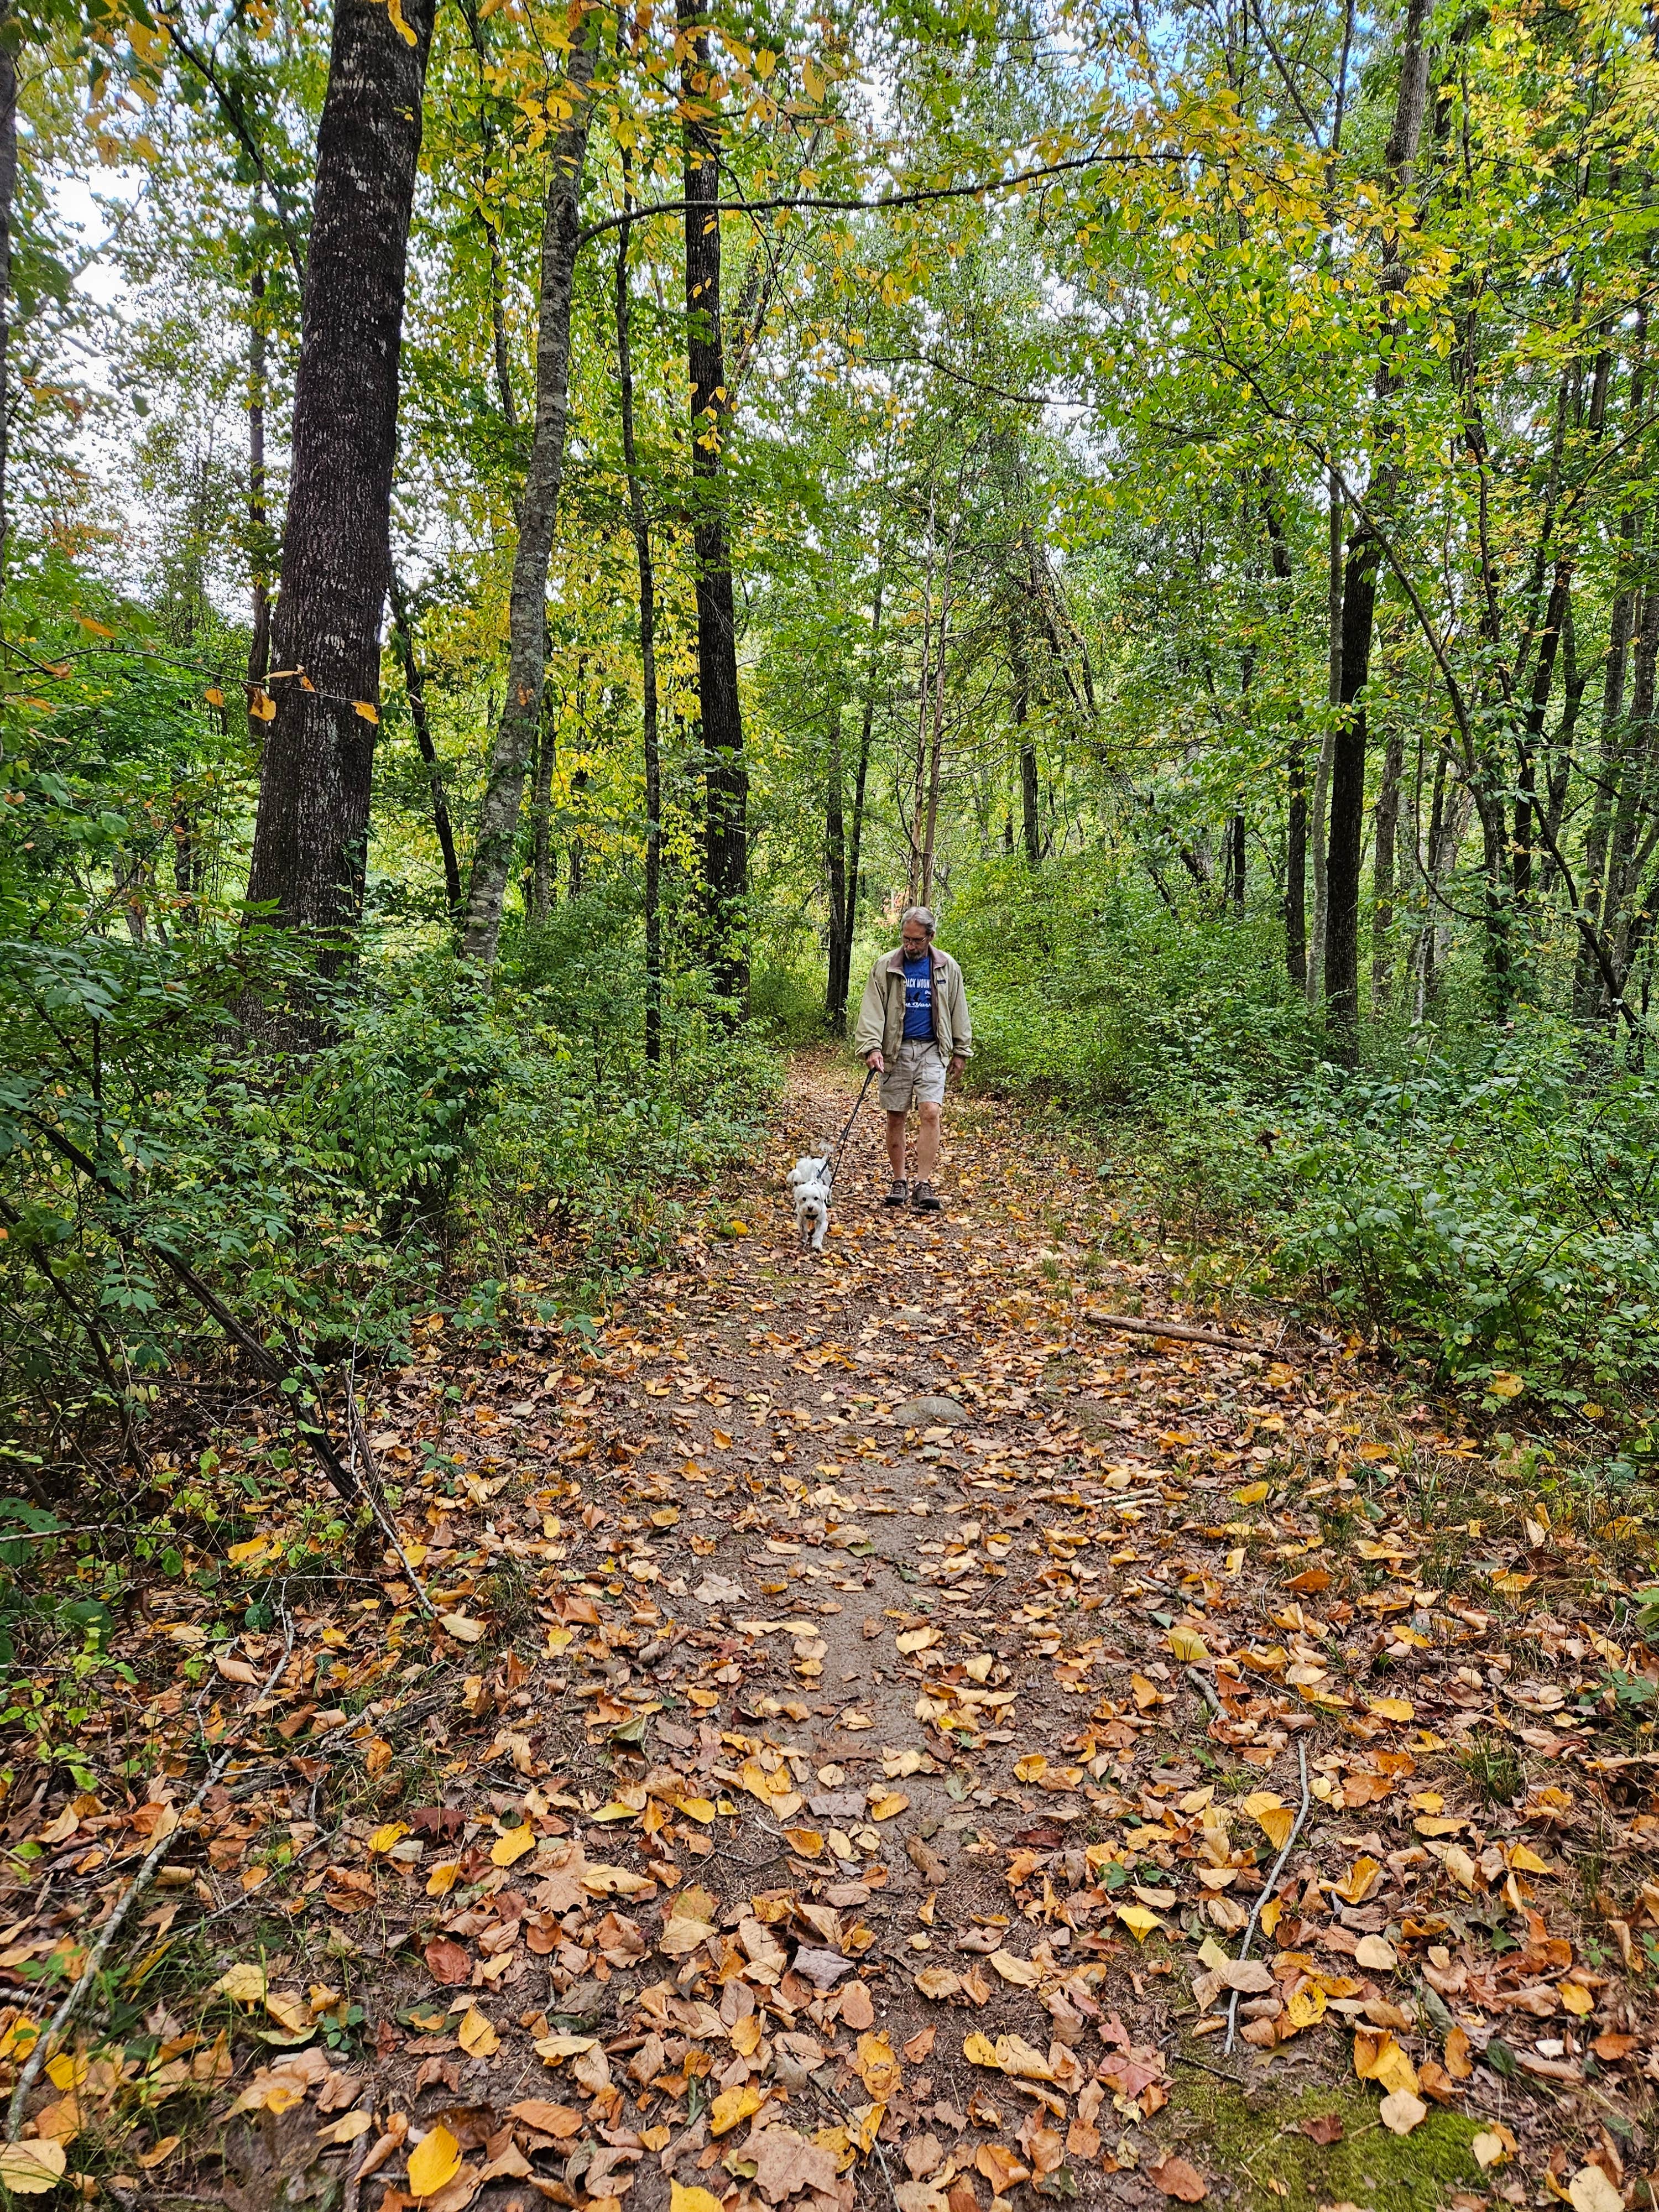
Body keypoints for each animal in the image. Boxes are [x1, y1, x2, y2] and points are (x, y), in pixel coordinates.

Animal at [792, 1150, 836, 1256]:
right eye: (804, 1199)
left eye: (816, 1198)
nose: (810, 1207)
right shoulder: (802, 1218)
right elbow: (803, 1229)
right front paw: (804, 1239)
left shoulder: (822, 1221)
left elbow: (819, 1233)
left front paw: (816, 1244)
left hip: (828, 1180)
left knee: (830, 1190)